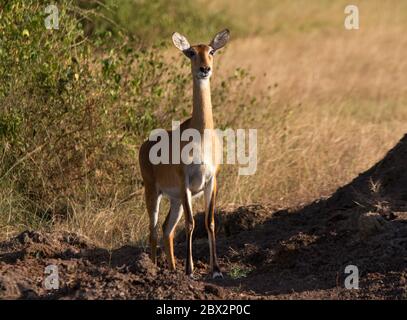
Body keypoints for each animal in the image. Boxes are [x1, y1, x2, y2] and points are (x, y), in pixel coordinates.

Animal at [139, 28, 231, 278]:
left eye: (211, 51)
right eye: (191, 52)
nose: (204, 69)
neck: (201, 136)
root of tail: (144, 145)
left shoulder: (211, 181)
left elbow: (209, 222)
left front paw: (216, 270)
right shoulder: (186, 181)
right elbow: (191, 223)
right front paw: (190, 270)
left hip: (176, 200)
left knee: (166, 229)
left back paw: (171, 268)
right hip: (154, 193)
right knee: (152, 229)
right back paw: (153, 268)